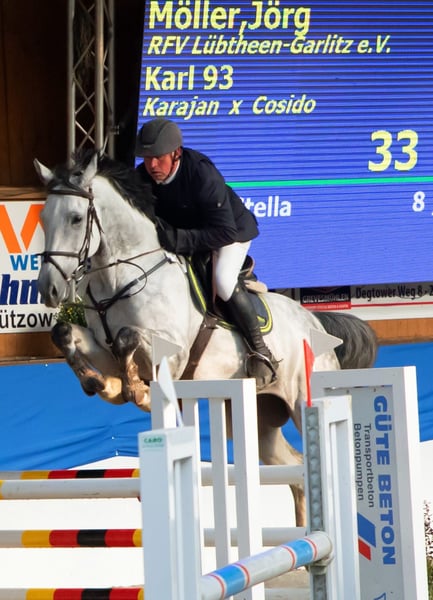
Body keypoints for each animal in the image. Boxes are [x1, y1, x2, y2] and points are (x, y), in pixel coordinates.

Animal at [35, 152, 378, 527]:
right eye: (43, 218)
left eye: (76, 218)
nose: (49, 290)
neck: (121, 279)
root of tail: (314, 321)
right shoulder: (104, 349)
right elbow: (66, 334)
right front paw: (102, 384)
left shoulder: (172, 352)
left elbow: (127, 338)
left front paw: (135, 391)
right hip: (258, 421)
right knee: (297, 471)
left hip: (305, 399)